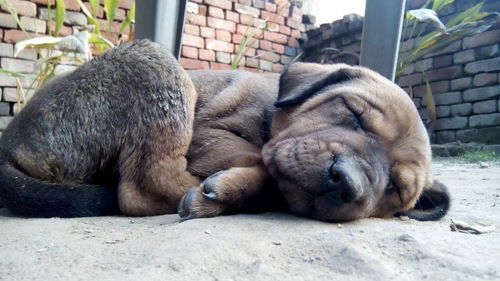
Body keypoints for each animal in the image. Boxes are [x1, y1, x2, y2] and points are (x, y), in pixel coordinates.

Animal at [0, 41, 450, 221]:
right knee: (141, 188)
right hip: (156, 62)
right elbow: (261, 160)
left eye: (395, 189)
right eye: (354, 115)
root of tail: (9, 144)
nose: (348, 184)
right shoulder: (209, 131)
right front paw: (243, 184)